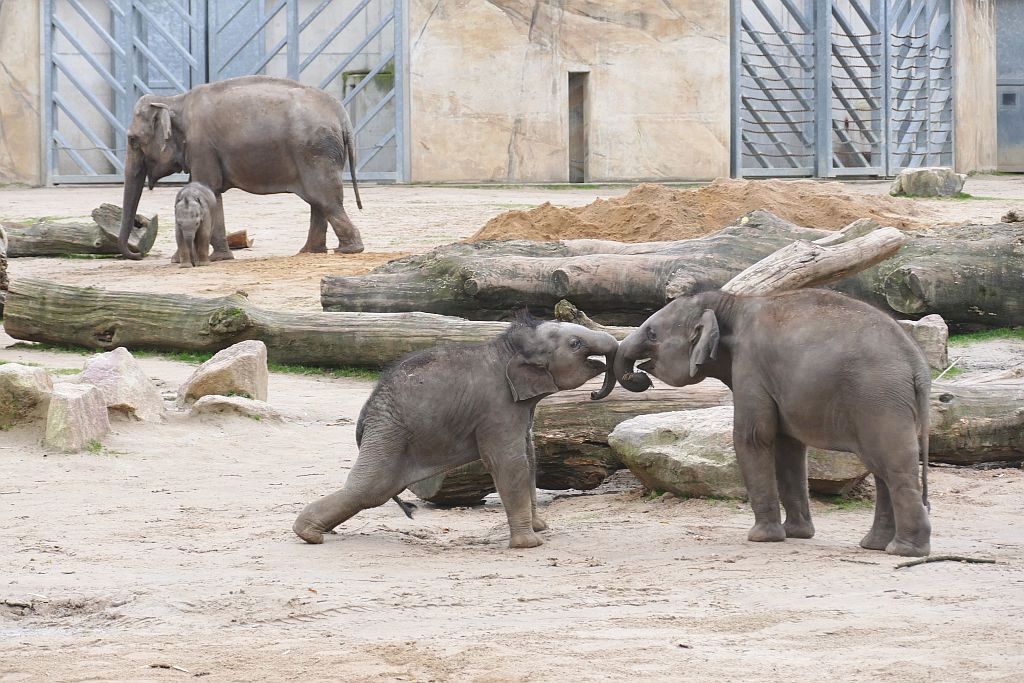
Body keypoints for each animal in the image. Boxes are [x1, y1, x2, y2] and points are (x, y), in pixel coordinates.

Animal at [119, 75, 364, 262]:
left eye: (132, 140)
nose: (138, 254)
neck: (174, 101)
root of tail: (342, 114)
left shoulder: (201, 147)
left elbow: (207, 189)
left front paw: (182, 260)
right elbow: (211, 194)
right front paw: (220, 258)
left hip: (315, 152)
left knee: (325, 198)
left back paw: (348, 250)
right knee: (319, 201)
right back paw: (309, 252)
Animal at [292, 315, 618, 548]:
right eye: (575, 344)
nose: (594, 394)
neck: (508, 346)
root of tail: (364, 418)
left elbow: (529, 456)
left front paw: (541, 529)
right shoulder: (496, 407)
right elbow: (509, 463)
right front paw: (530, 544)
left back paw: (316, 532)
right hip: (388, 434)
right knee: (369, 489)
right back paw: (308, 534)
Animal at [598, 290, 937, 557]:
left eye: (652, 334)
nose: (639, 376)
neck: (730, 304)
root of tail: (917, 364)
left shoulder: (750, 366)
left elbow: (752, 437)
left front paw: (761, 538)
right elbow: (788, 448)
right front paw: (797, 534)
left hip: (879, 400)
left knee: (894, 467)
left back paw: (904, 551)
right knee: (883, 469)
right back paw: (876, 545)